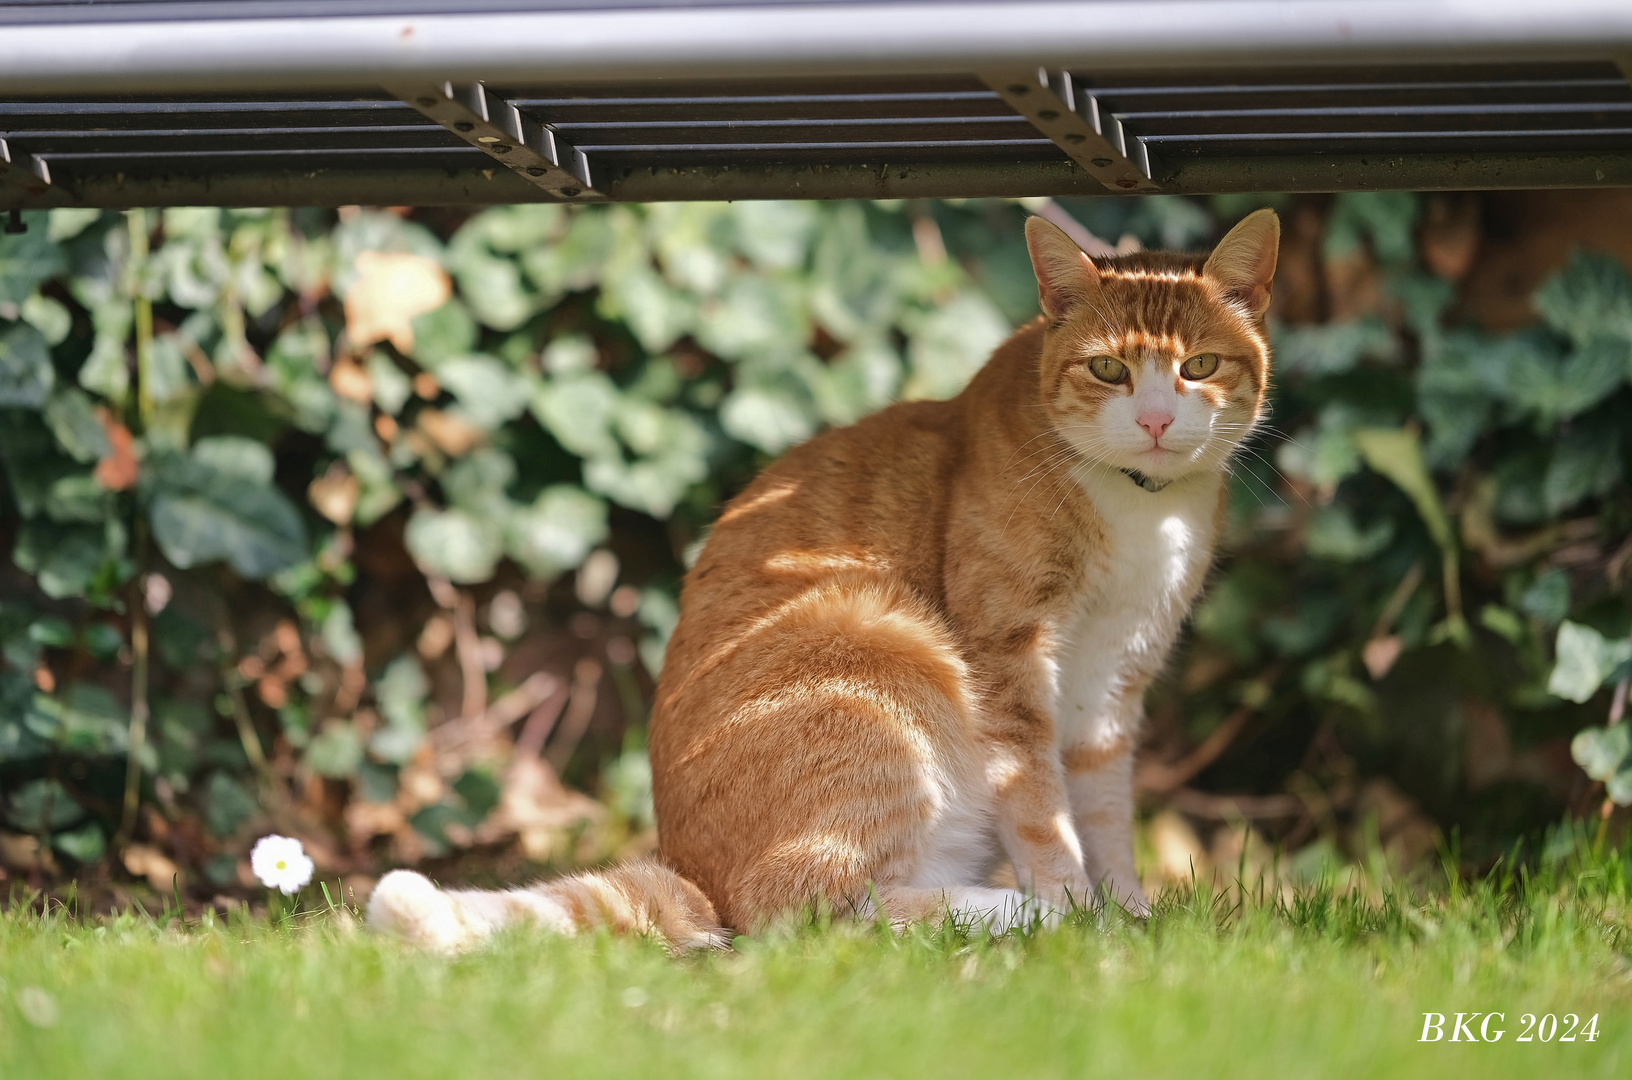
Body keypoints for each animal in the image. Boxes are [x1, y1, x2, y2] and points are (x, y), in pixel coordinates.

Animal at [363, 208, 1279, 946]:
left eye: (1199, 366)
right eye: (1109, 370)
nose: (1155, 420)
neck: (1140, 509)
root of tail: (696, 876)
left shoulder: (1114, 680)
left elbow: (1106, 811)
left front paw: (1129, 913)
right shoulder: (1011, 658)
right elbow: (1042, 810)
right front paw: (1077, 907)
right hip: (886, 655)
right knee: (800, 912)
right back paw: (1017, 913)